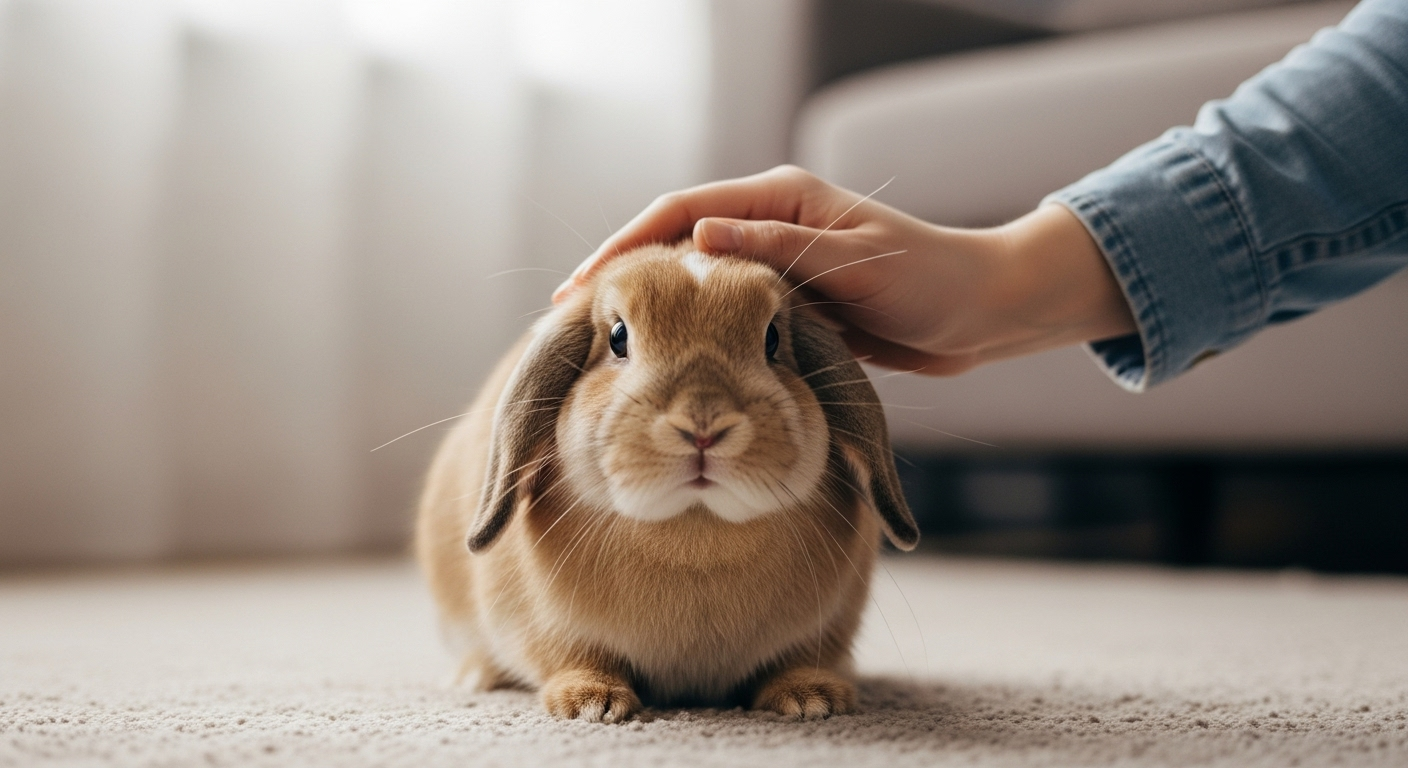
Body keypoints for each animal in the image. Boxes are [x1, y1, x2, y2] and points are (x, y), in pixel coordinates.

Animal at [415, 242, 918, 723]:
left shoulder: (825, 628)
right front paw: (590, 703)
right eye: (618, 338)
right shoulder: (546, 628)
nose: (703, 426)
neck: (696, 528)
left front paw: (814, 699)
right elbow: (572, 659)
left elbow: (797, 661)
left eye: (773, 338)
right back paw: (474, 676)